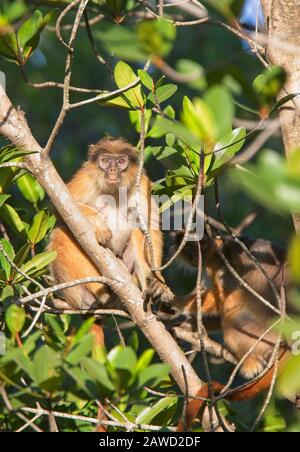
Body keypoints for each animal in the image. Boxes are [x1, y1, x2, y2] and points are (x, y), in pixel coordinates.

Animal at [49, 137, 173, 328]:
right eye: (105, 160)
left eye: (121, 161)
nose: (113, 169)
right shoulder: (85, 177)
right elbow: (60, 208)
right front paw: (100, 226)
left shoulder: (142, 183)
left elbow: (150, 226)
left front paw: (158, 281)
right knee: (61, 234)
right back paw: (93, 297)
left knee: (137, 230)